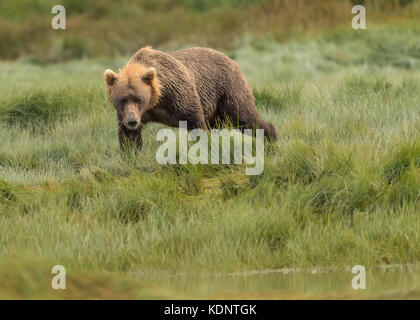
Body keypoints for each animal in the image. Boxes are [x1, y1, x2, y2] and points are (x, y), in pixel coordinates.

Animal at [104, 46, 278, 150]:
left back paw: (271, 139)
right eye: (122, 100)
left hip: (228, 90)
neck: (156, 100)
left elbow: (194, 119)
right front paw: (131, 153)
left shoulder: (177, 94)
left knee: (243, 117)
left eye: (139, 99)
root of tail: (232, 59)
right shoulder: (132, 114)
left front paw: (205, 147)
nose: (132, 121)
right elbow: (128, 136)